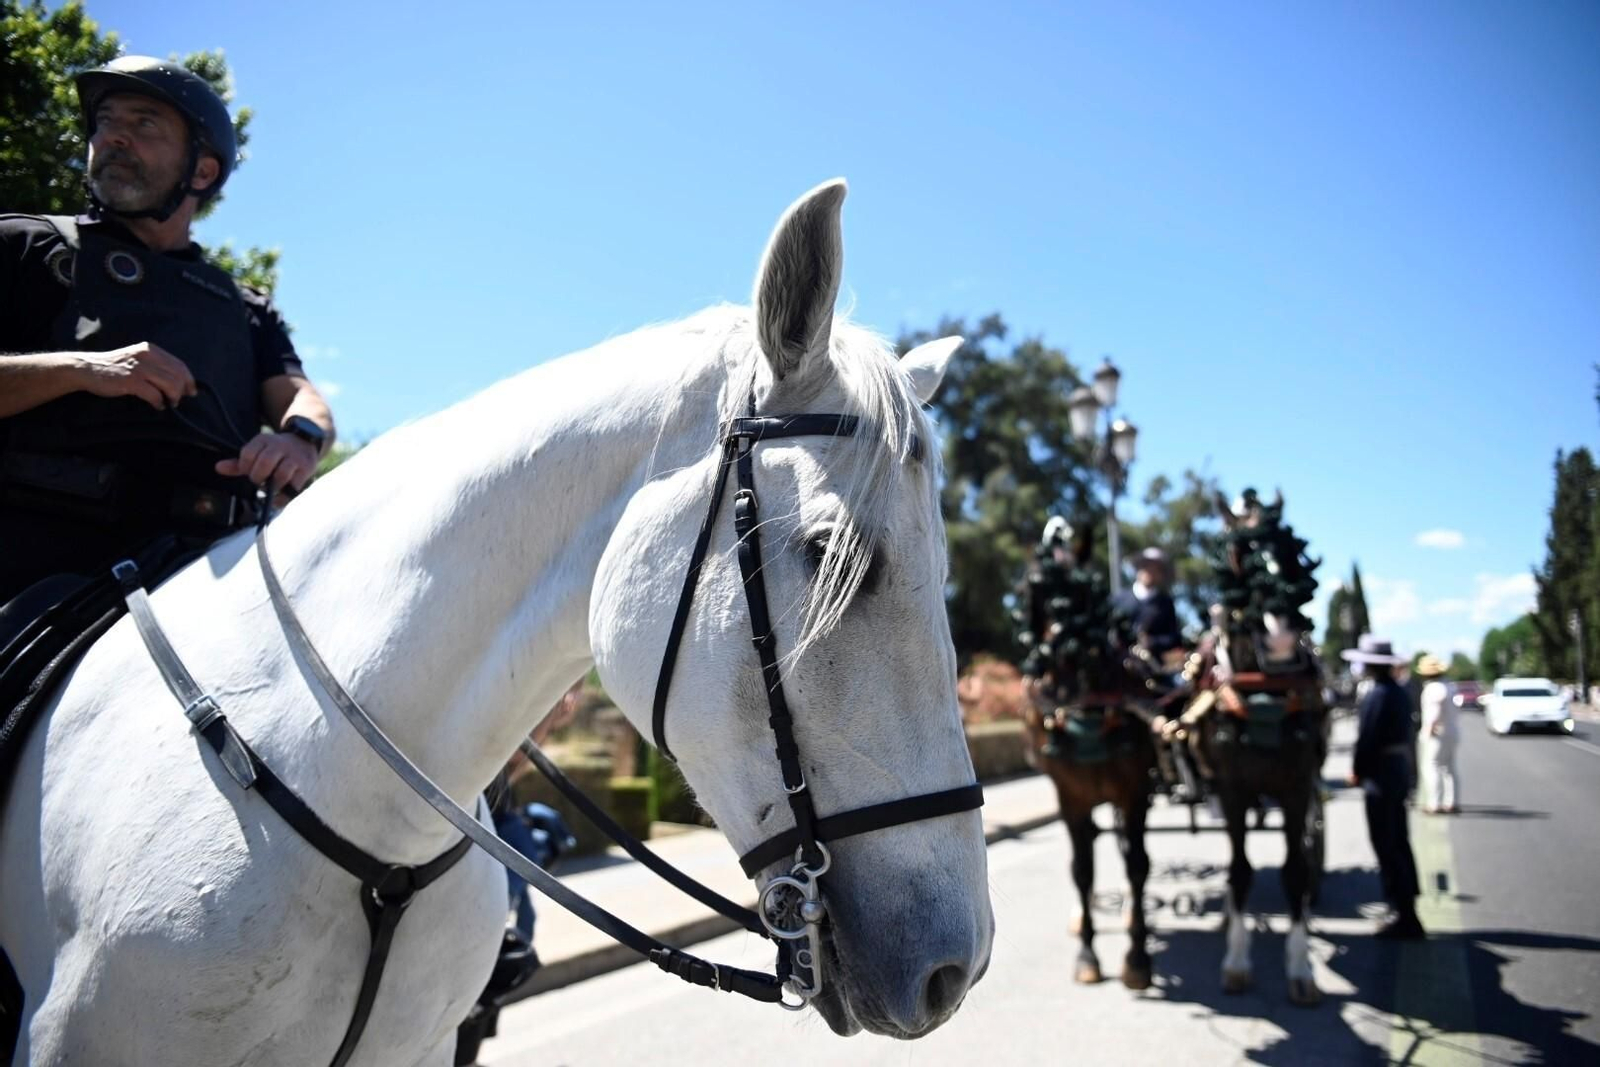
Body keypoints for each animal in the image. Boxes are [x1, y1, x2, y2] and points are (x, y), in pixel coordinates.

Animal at [1016, 518, 1159, 990]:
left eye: (1084, 593)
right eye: (1032, 592)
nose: (1065, 679)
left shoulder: (1134, 792)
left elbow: (1138, 865)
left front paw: (1137, 957)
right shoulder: (1070, 798)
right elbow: (1081, 870)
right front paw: (1087, 955)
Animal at [1184, 489, 1326, 1006]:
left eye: (1289, 545)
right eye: (1238, 552)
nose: (1282, 633)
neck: (1265, 693)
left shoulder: (1298, 786)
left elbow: (1295, 870)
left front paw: (1301, 967)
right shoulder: (1232, 790)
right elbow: (1240, 870)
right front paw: (1237, 960)